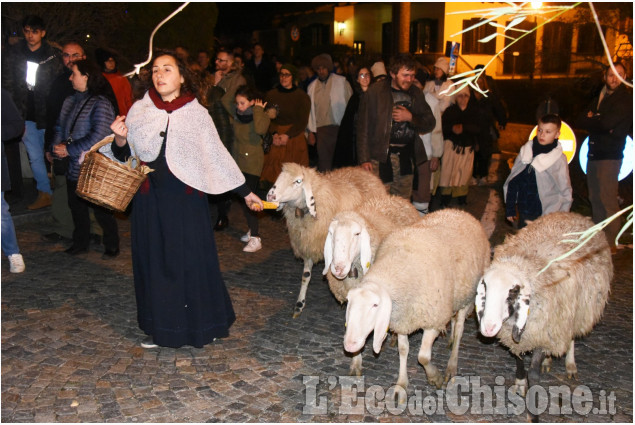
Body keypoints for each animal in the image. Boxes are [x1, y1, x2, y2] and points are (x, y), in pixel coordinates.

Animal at [264, 161, 386, 316]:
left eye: (298, 181)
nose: (270, 196)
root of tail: (363, 171)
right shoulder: (308, 245)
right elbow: (305, 276)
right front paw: (299, 303)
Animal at [346, 208, 490, 398]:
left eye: (375, 306)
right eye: (349, 303)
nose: (349, 345)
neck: (396, 270)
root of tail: (460, 211)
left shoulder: (433, 320)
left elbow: (423, 357)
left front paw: (434, 377)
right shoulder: (403, 319)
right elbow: (403, 350)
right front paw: (401, 384)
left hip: (468, 296)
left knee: (459, 329)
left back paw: (452, 365)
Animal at [474, 212, 612, 408]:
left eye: (512, 293)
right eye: (485, 289)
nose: (488, 328)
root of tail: (574, 214)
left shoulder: (545, 328)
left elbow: (533, 371)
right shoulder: (523, 335)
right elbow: (519, 359)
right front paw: (520, 383)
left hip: (574, 310)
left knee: (570, 337)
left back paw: (570, 364)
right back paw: (549, 360)